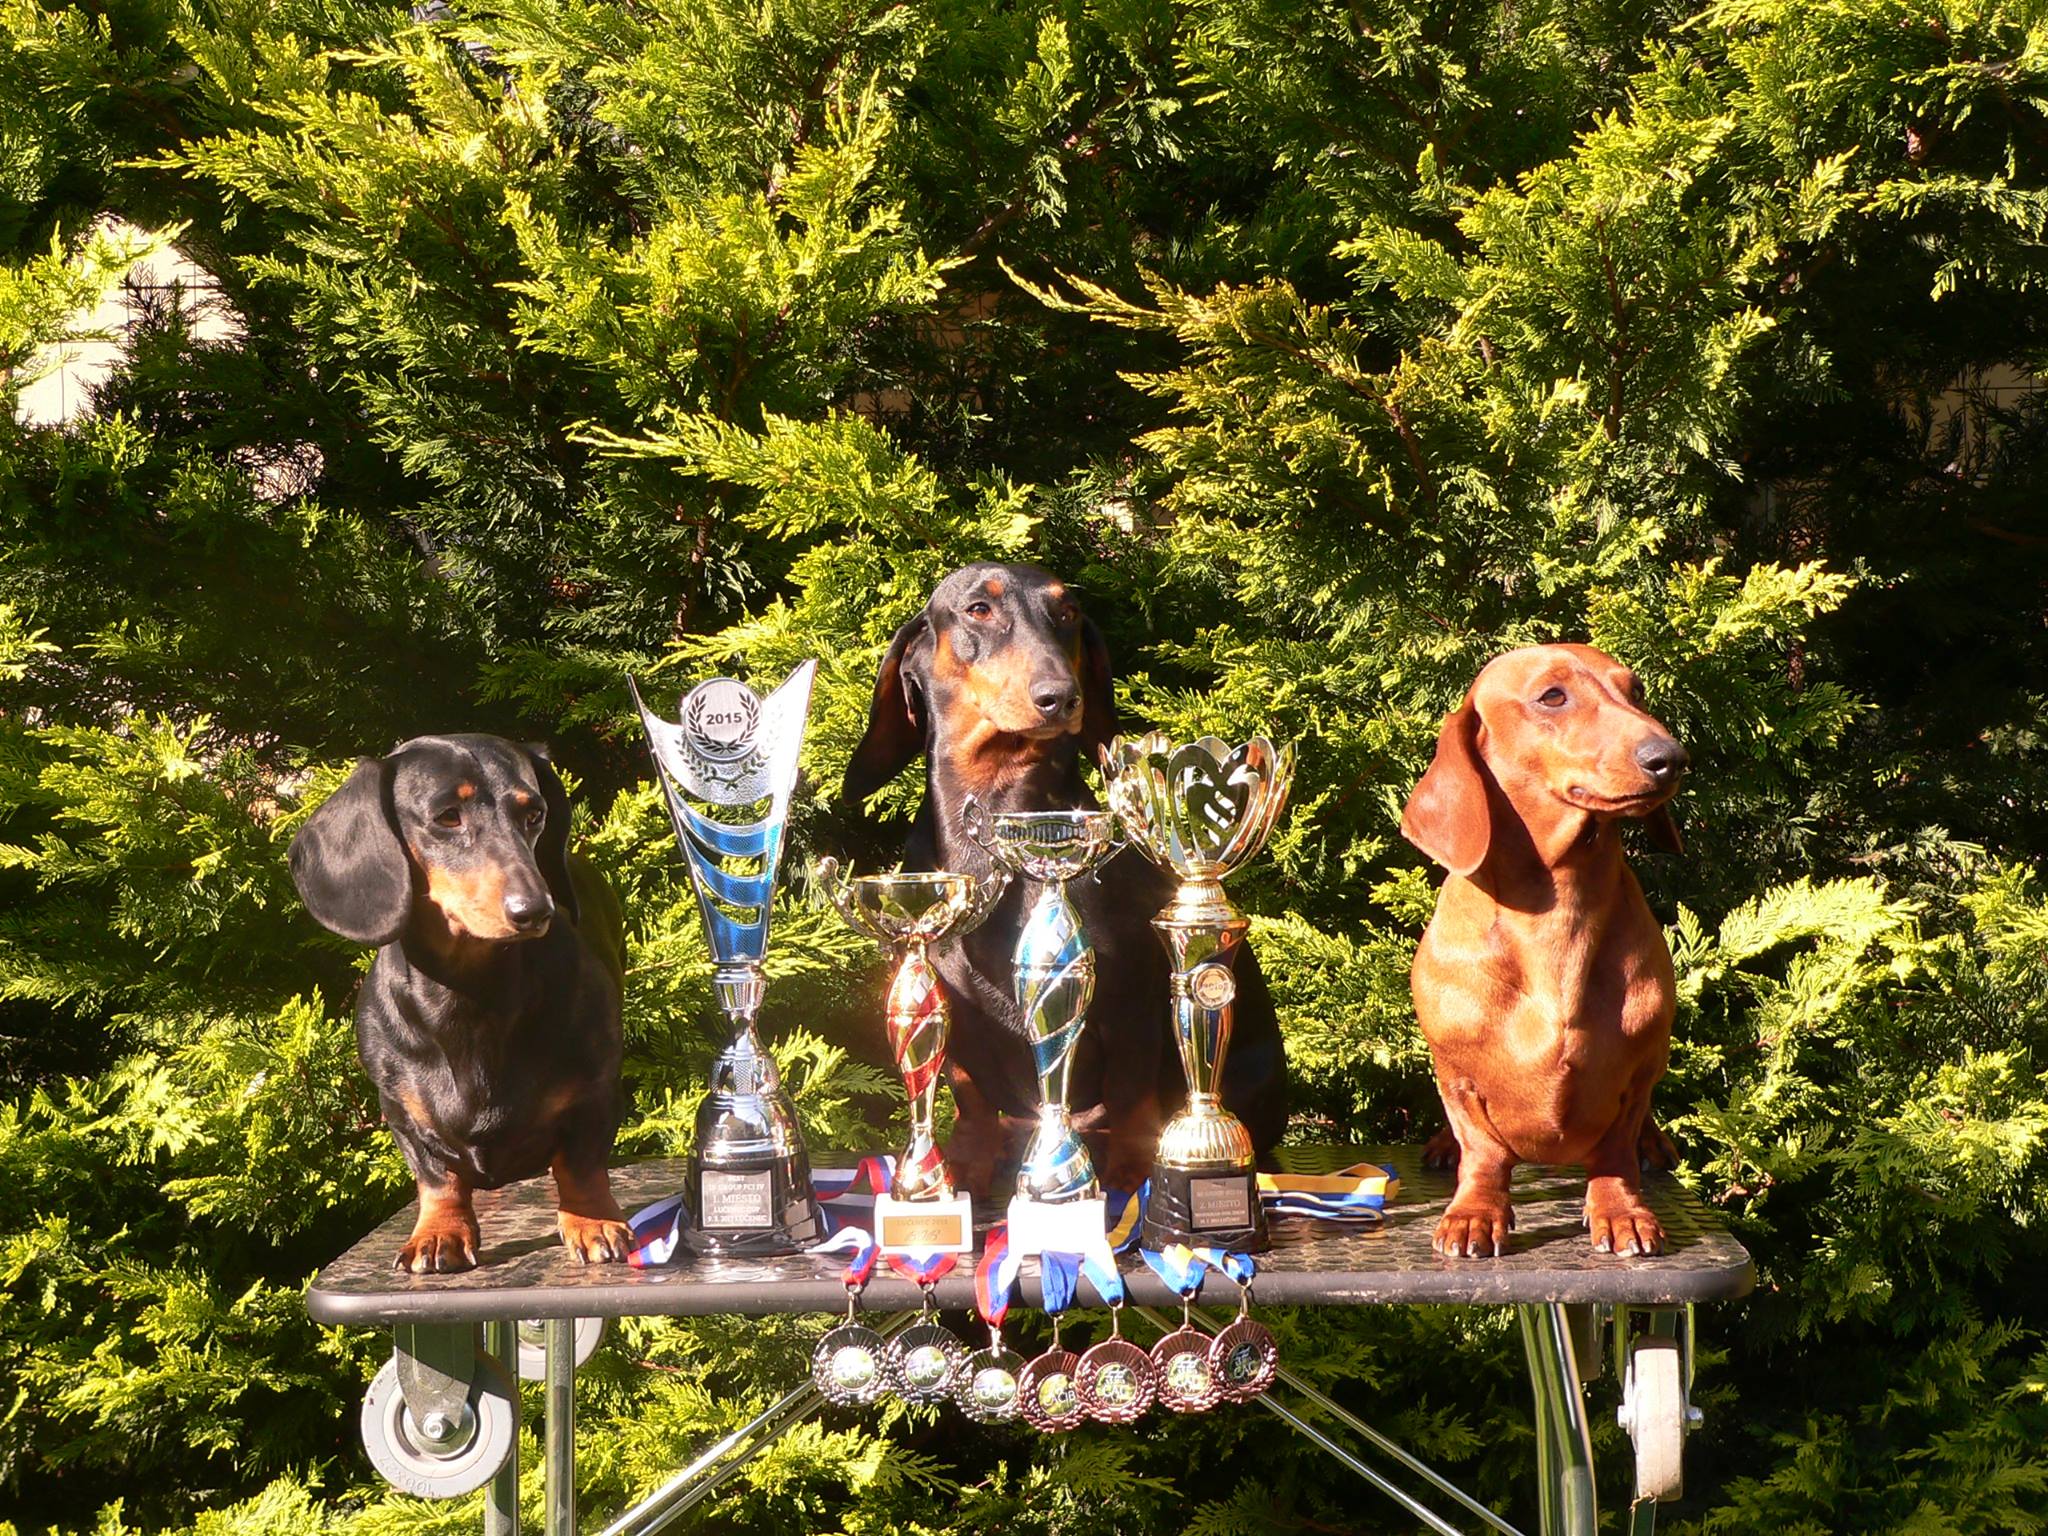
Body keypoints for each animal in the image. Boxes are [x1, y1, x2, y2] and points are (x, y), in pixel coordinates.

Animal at [290, 735, 631, 1273]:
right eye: (448, 816)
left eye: (534, 814)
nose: (535, 911)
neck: (469, 993)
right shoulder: (401, 1111)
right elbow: (437, 1179)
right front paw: (439, 1232)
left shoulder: (594, 1093)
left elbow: (580, 1164)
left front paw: (591, 1219)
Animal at [842, 562, 1289, 1195]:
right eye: (978, 608)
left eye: (1068, 613)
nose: (1059, 698)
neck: (998, 809)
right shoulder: (942, 1000)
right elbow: (969, 1095)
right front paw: (961, 1169)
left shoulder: (1129, 992)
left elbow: (1130, 1089)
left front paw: (1132, 1172)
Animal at [1401, 644, 1687, 1259]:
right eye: (1552, 696)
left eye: (1636, 691)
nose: (1670, 758)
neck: (1554, 921)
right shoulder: (1458, 1076)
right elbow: (1484, 1151)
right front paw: (1474, 1212)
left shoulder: (1638, 1074)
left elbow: (1616, 1150)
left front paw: (1620, 1209)